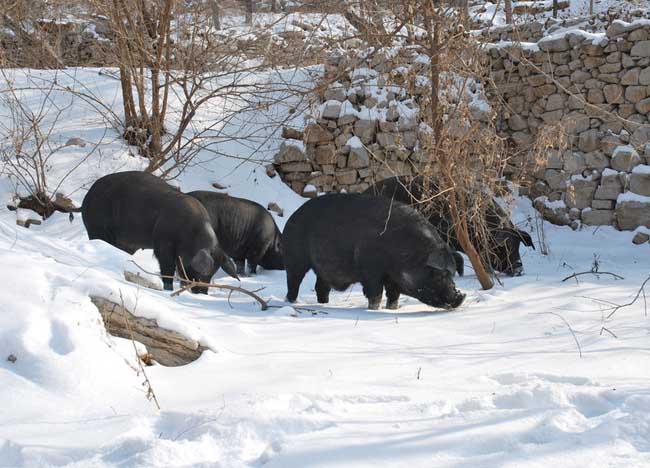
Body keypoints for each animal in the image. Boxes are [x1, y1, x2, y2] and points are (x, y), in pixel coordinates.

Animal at [280, 194, 464, 310]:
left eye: (452, 273)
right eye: (438, 274)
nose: (459, 296)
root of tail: (292, 217)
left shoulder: (393, 280)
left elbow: (393, 296)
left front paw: (392, 309)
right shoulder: (370, 271)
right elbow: (375, 294)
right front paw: (373, 310)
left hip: (322, 269)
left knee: (321, 287)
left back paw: (324, 304)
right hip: (295, 258)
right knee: (293, 281)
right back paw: (292, 303)